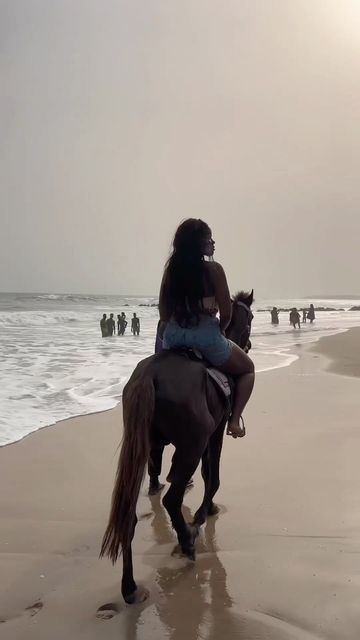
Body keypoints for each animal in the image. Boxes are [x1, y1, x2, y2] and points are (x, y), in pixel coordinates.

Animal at [100, 290, 255, 604]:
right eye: (251, 318)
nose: (248, 345)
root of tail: (150, 375)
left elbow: (204, 474)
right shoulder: (215, 433)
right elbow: (213, 475)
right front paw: (205, 511)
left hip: (144, 449)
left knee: (130, 515)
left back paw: (130, 587)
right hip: (192, 446)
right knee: (172, 499)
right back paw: (187, 539)